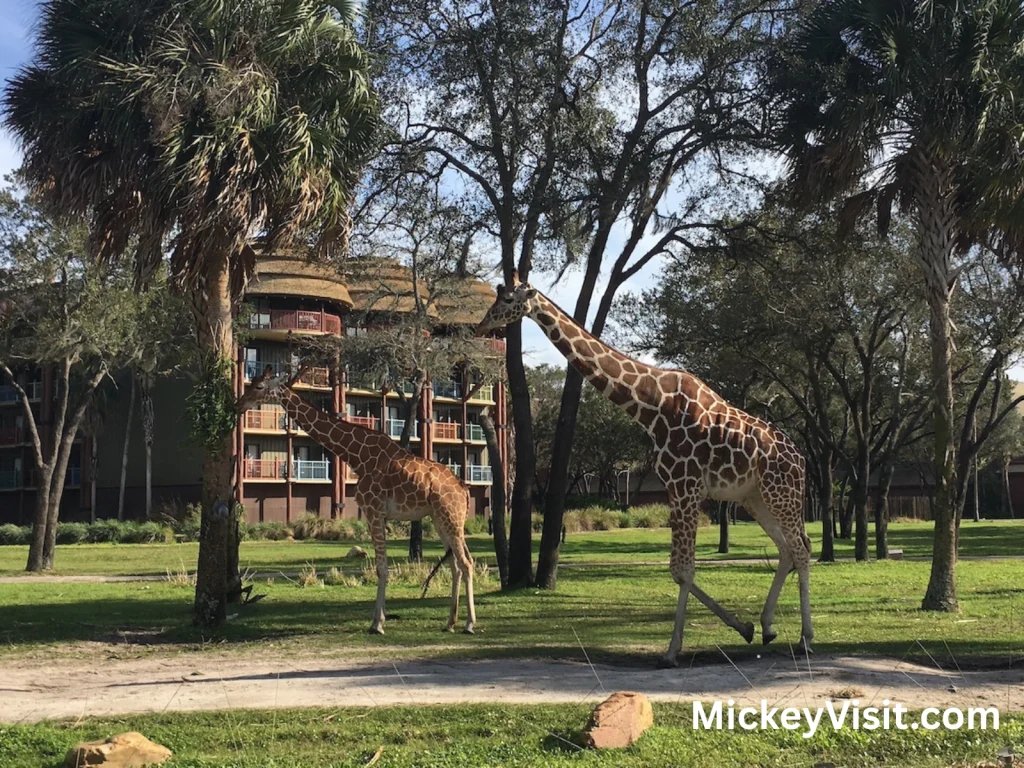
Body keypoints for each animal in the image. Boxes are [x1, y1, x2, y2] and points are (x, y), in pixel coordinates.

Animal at [246, 371, 477, 635]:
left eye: (260, 386)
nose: (241, 402)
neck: (356, 456)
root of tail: (464, 489)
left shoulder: (374, 511)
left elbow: (381, 567)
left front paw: (377, 624)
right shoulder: (374, 515)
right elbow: (381, 566)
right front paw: (378, 620)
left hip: (451, 518)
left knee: (467, 563)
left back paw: (469, 624)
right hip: (440, 519)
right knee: (457, 564)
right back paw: (450, 622)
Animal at [476, 281, 813, 666]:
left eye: (507, 299)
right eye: (497, 295)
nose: (483, 324)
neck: (652, 405)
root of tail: (801, 460)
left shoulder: (685, 486)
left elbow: (683, 569)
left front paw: (672, 651)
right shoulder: (677, 488)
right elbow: (678, 569)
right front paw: (744, 627)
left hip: (781, 493)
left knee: (801, 549)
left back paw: (805, 638)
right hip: (755, 498)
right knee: (788, 549)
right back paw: (769, 626)